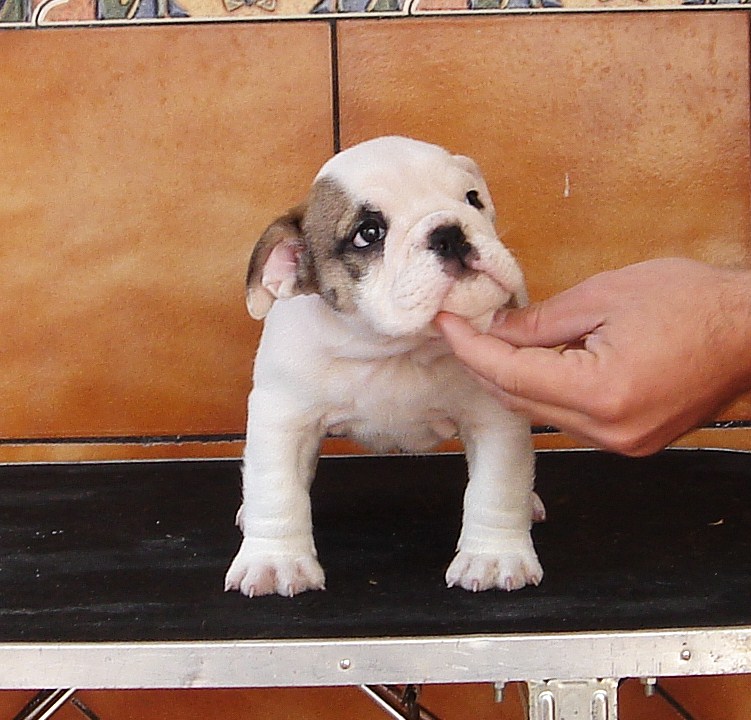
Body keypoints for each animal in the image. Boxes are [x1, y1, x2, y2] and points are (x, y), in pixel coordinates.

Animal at [225, 136, 543, 598]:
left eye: (472, 199)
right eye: (368, 233)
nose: (450, 232)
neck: (394, 348)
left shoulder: (495, 418)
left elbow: (496, 488)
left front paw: (493, 556)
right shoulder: (284, 417)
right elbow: (278, 488)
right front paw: (274, 561)